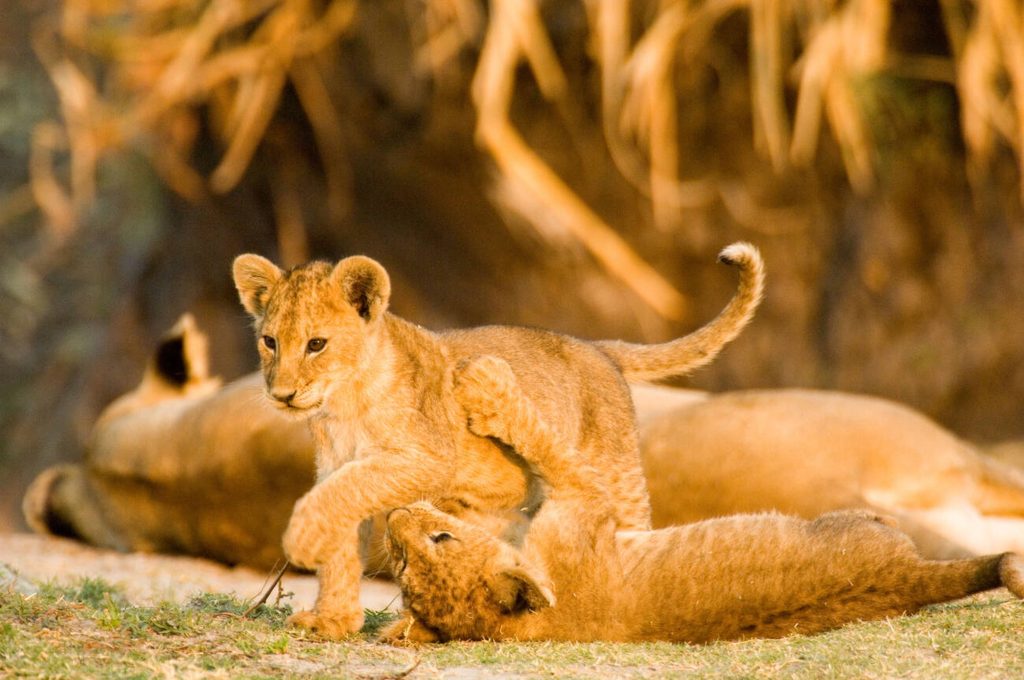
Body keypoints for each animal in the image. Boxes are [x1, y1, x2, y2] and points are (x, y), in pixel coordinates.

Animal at [229, 243, 764, 637]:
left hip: (618, 475)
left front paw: (301, 539)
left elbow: (337, 498)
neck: (344, 405)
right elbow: (341, 536)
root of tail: (595, 346)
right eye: (270, 342)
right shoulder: (339, 465)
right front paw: (333, 622)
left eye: (316, 344)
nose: (281, 394)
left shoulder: (426, 458)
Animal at [380, 356, 1024, 644]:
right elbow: (550, 446)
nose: (395, 515)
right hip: (866, 506)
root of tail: (905, 576)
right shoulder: (587, 500)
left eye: (427, 546)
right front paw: (490, 388)